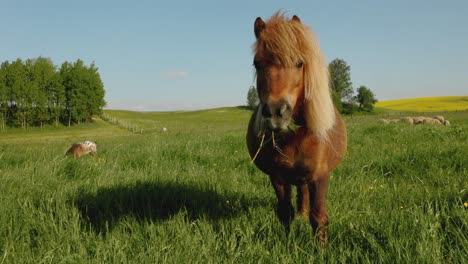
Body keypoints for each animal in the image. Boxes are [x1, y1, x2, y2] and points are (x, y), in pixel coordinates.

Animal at [247, 12, 346, 243]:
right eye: (256, 64)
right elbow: (285, 213)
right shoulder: (278, 178)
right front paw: (287, 243)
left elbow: (318, 217)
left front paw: (320, 247)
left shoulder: (319, 176)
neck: (295, 136)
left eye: (300, 63)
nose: (276, 112)